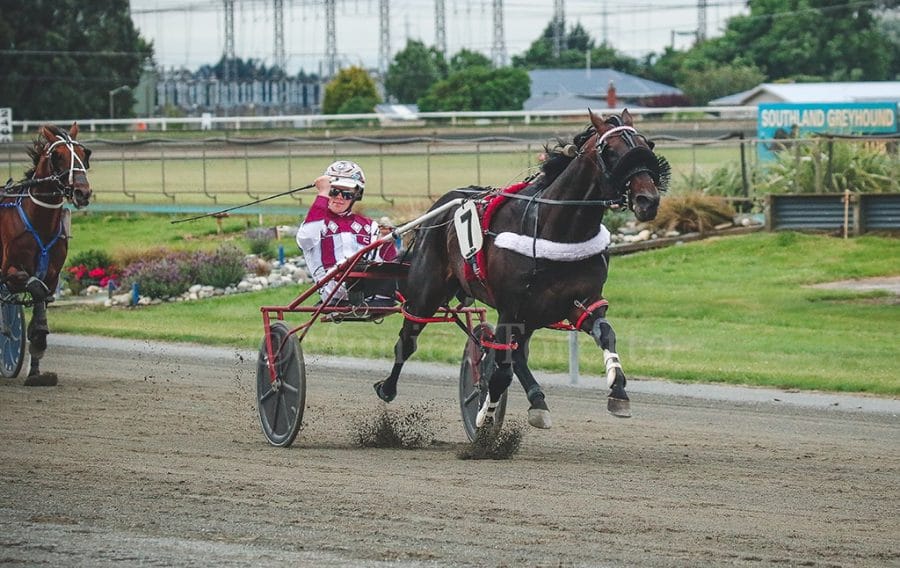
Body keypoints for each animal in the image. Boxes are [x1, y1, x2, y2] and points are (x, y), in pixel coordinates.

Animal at [0, 124, 92, 386]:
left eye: (84, 154)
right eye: (57, 156)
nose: (83, 192)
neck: (39, 222)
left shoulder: (51, 274)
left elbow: (41, 297)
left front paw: (36, 370)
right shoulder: (9, 272)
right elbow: (36, 289)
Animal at [376, 110, 672, 430]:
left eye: (647, 145)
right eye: (612, 151)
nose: (648, 200)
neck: (557, 228)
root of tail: (439, 206)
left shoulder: (582, 301)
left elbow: (606, 334)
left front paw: (618, 391)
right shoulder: (511, 307)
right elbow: (501, 371)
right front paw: (484, 415)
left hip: (529, 315)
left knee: (517, 354)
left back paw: (537, 400)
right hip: (427, 291)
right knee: (408, 339)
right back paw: (387, 388)